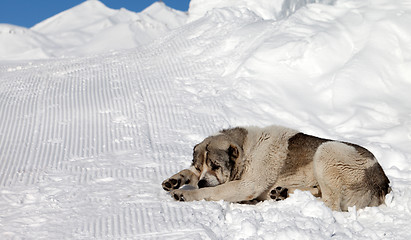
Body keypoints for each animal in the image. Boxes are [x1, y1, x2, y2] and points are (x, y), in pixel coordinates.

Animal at [161, 124, 390, 211]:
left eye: (215, 166)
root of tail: (384, 183)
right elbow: (190, 175)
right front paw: (176, 180)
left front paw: (185, 195)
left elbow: (215, 191)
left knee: (330, 204)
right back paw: (282, 193)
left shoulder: (247, 185)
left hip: (327, 150)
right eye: (199, 166)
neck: (248, 151)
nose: (201, 182)